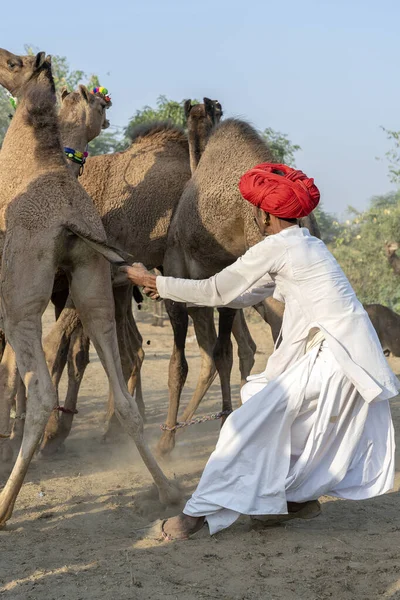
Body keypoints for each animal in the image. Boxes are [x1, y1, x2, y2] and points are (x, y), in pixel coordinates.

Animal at [0, 48, 179, 524]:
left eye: (14, 64)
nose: (0, 57)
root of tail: (69, 221)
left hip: (22, 300)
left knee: (40, 384)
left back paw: (5, 504)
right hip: (93, 286)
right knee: (122, 384)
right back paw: (168, 488)